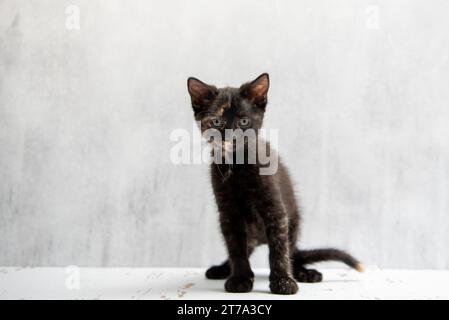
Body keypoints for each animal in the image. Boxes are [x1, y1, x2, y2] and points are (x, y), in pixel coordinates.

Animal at [186, 74, 364, 294]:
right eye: (216, 121)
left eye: (244, 121)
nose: (231, 137)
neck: (238, 165)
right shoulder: (228, 213)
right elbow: (236, 247)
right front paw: (240, 278)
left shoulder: (275, 209)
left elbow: (279, 250)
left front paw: (283, 282)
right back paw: (222, 268)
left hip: (294, 224)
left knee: (291, 253)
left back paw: (304, 272)